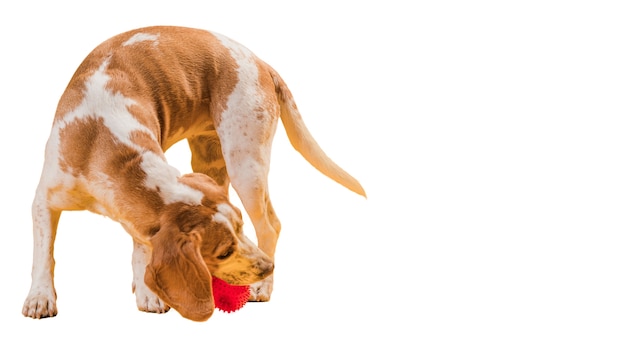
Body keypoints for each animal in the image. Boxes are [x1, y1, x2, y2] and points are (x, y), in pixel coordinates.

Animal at [22, 26, 366, 320]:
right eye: (224, 251)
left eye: (240, 228)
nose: (267, 267)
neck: (104, 142)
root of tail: (260, 62)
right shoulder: (44, 201)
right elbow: (44, 254)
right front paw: (40, 297)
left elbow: (140, 250)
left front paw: (148, 292)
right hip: (212, 164)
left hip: (245, 165)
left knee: (271, 226)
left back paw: (262, 288)